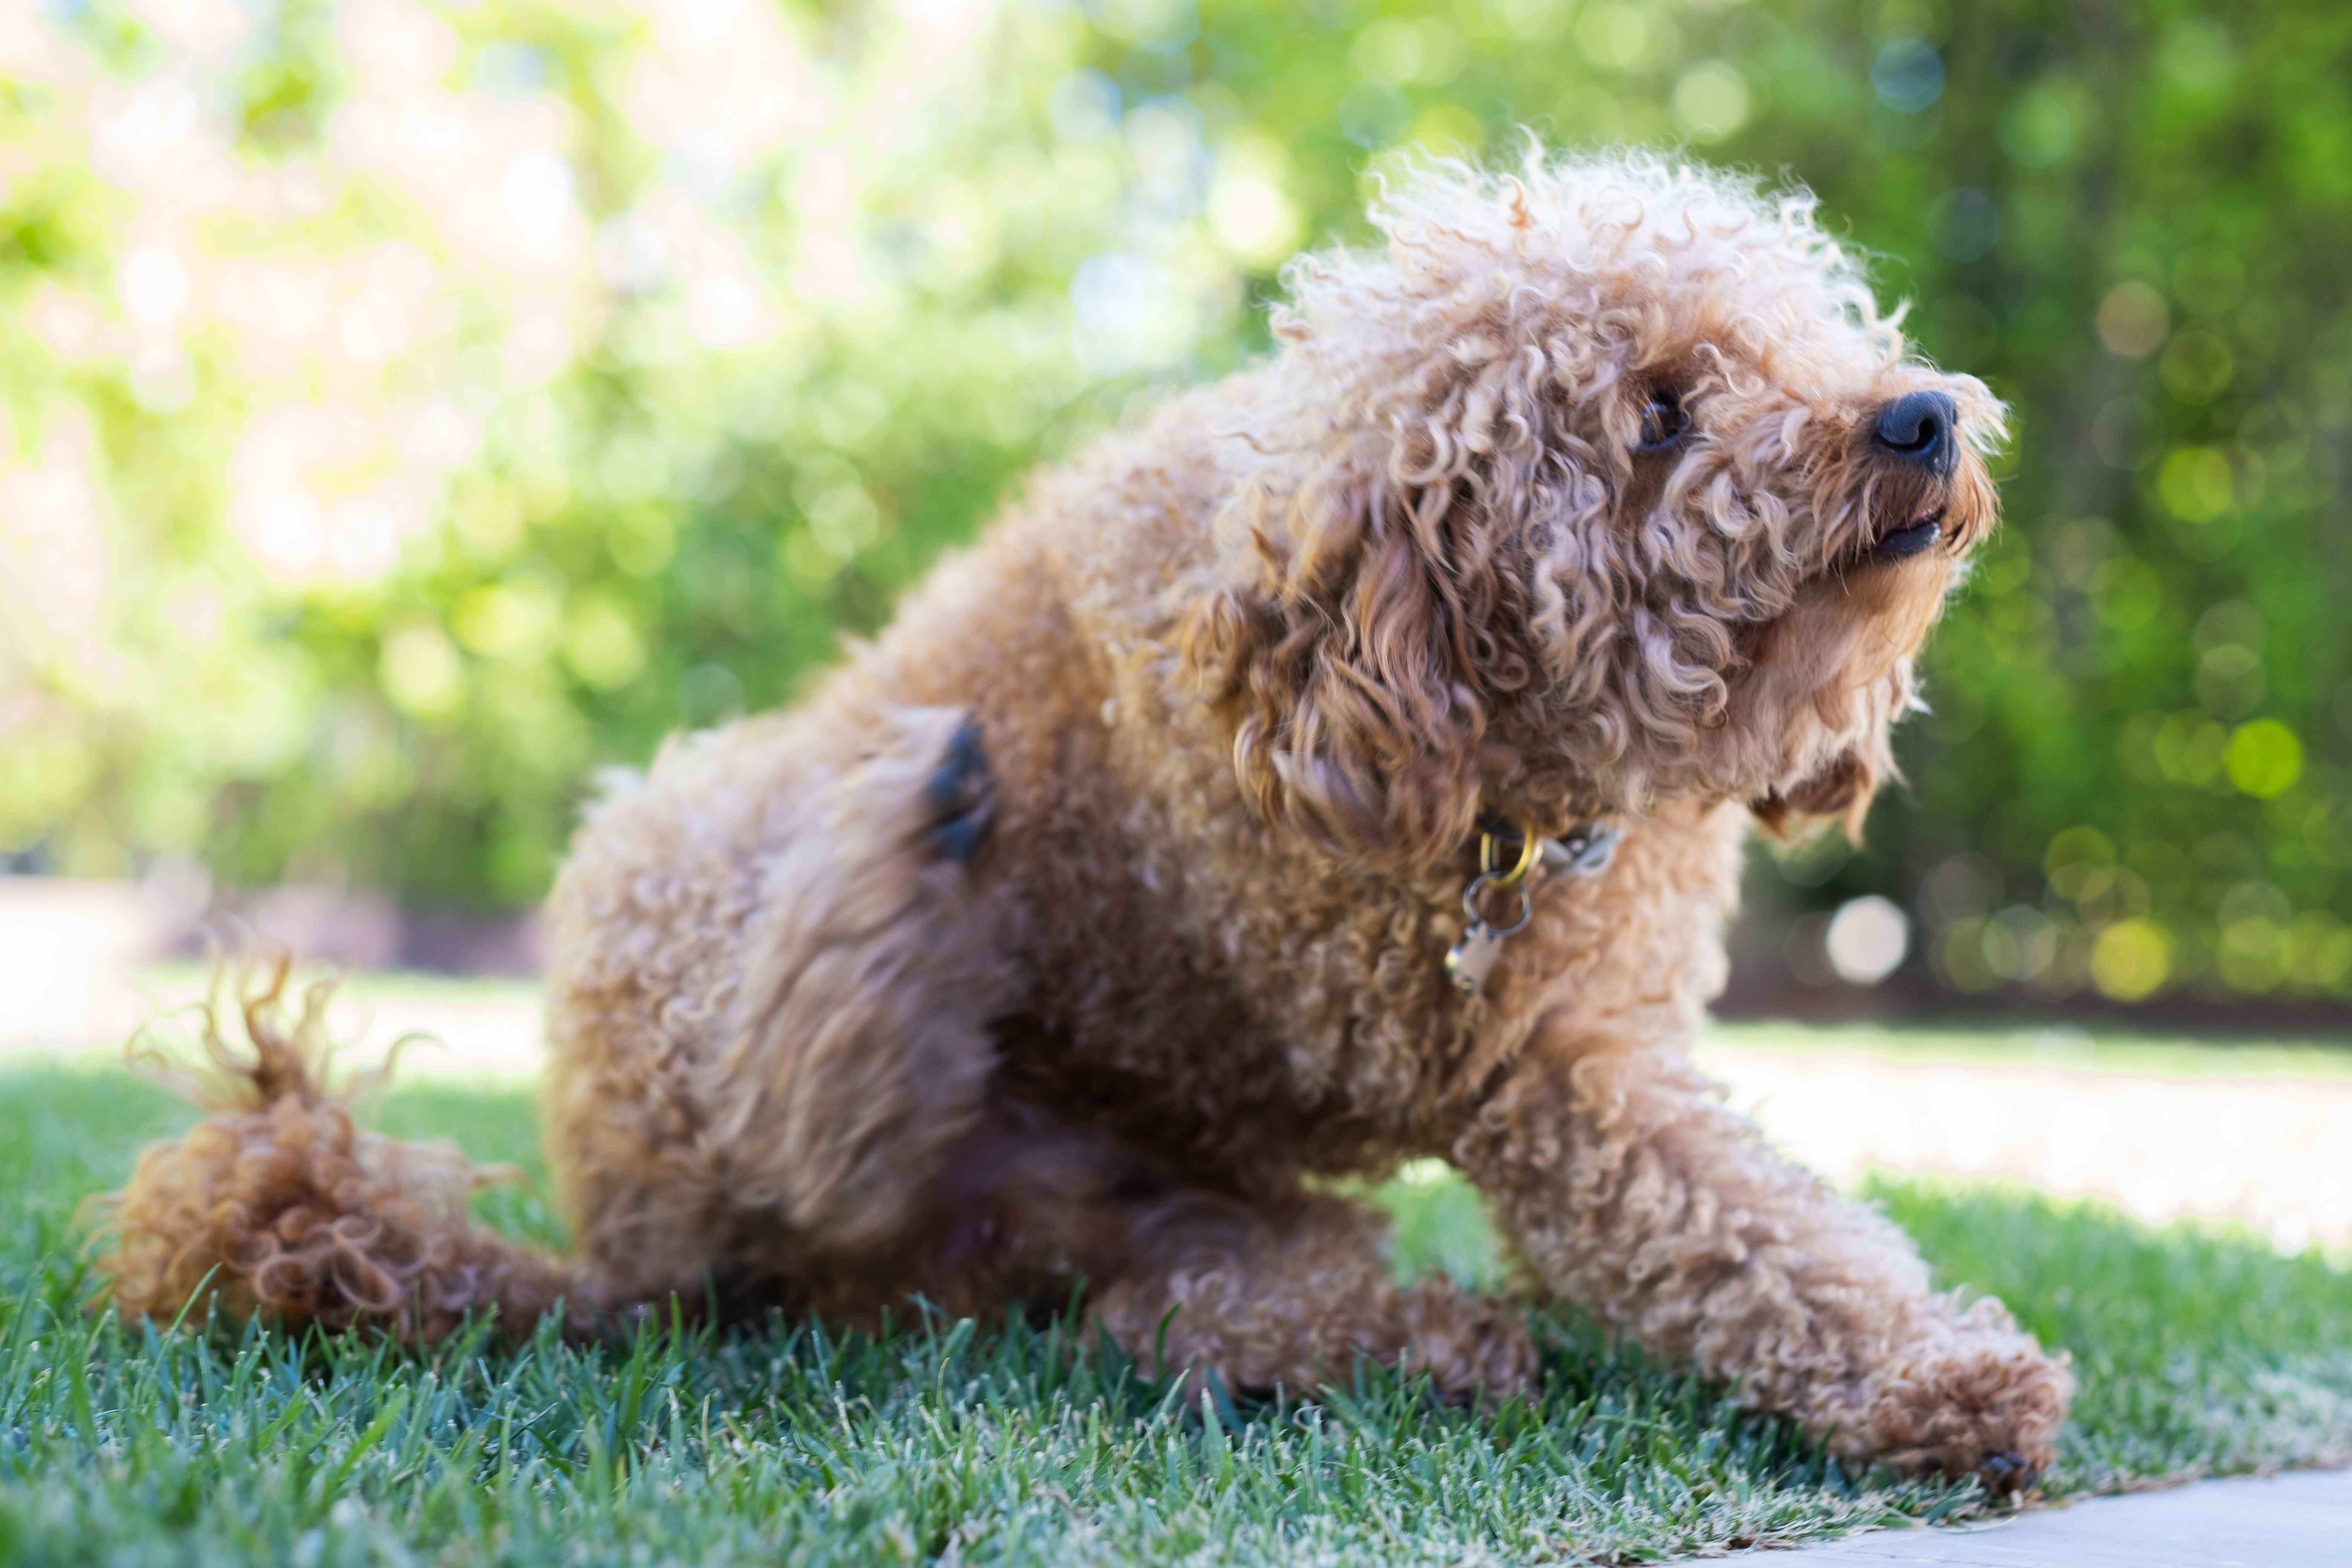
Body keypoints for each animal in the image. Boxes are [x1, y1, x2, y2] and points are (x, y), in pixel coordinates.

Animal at [101, 153, 2070, 1495]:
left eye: (1805, 328)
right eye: (1660, 410)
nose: (1916, 413)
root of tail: (607, 1258)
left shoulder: (1583, 1037)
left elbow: (1760, 1231)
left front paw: (1931, 1372)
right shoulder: (1550, 1084)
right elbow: (1744, 1236)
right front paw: (1938, 1382)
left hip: (1148, 1226)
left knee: (1162, 1313)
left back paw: (1410, 1343)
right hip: (669, 858)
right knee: (802, 1107)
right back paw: (909, 832)